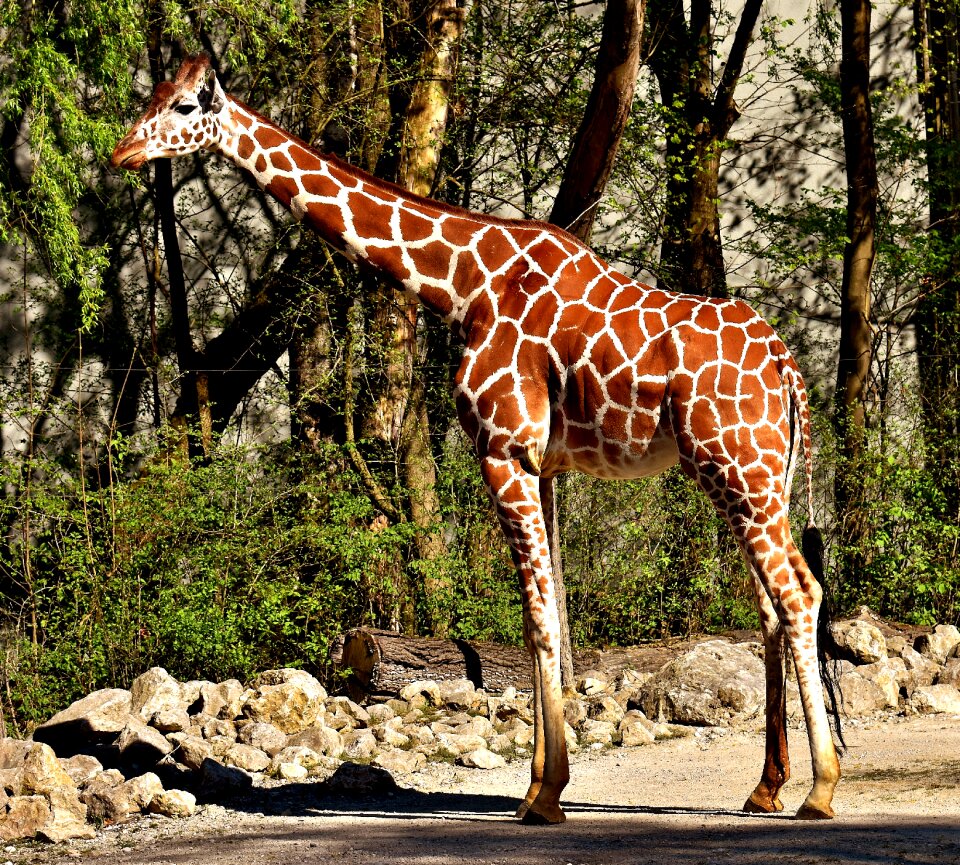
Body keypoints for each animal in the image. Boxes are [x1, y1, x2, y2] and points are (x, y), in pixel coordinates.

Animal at [112, 54, 840, 824]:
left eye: (185, 106)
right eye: (155, 95)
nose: (122, 151)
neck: (463, 284)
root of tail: (787, 364)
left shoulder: (503, 449)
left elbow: (541, 620)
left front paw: (545, 795)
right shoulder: (542, 464)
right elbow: (542, 616)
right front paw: (541, 784)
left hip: (738, 469)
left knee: (799, 594)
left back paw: (819, 789)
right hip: (755, 475)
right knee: (773, 603)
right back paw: (766, 786)